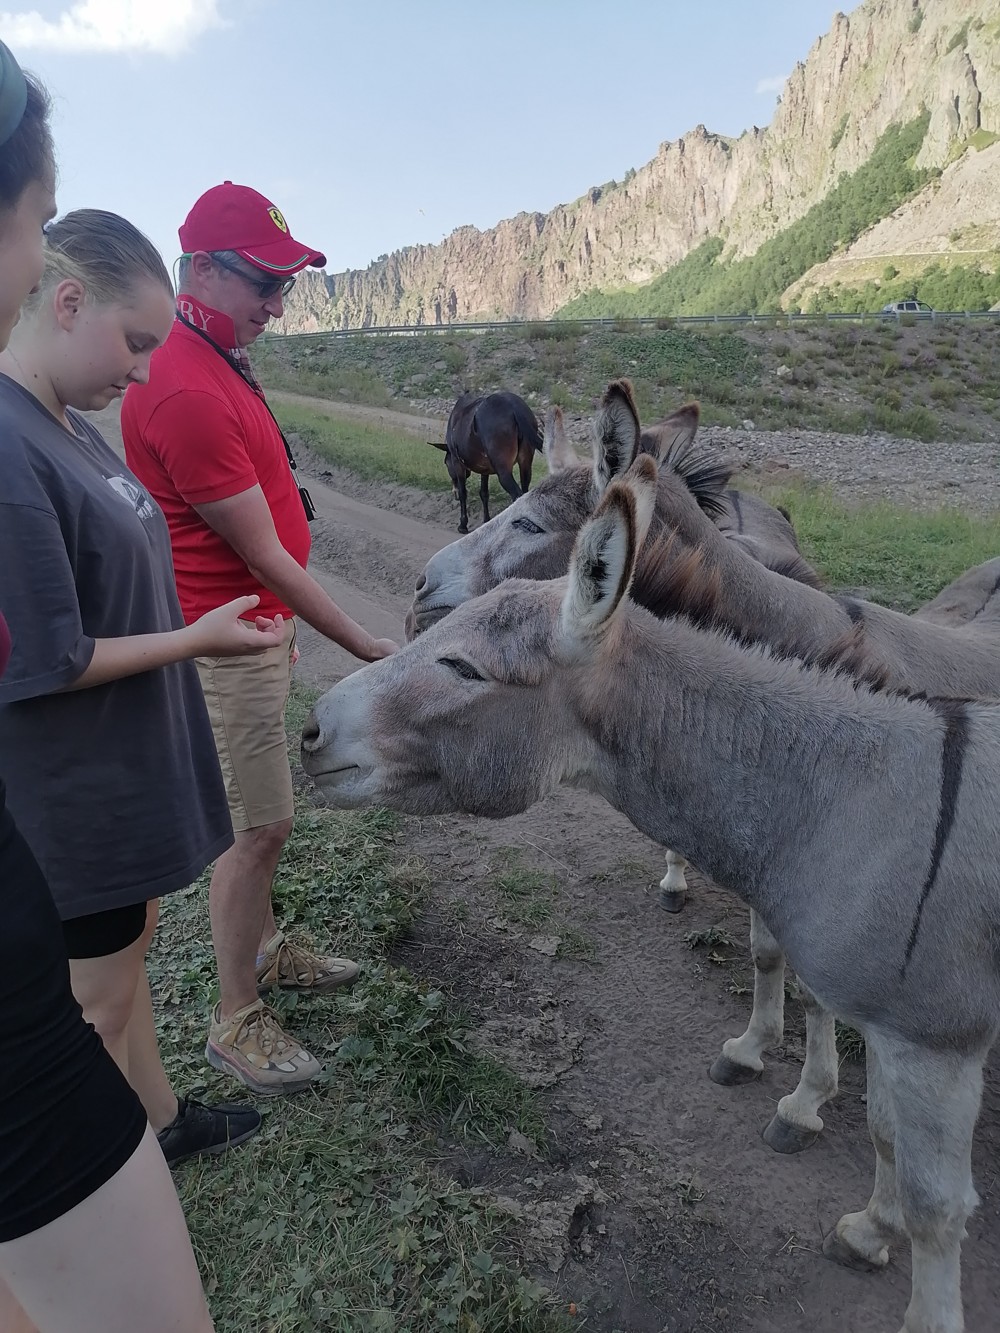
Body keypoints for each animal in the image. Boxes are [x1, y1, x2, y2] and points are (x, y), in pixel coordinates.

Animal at [437, 389, 549, 533]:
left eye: (446, 463)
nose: (453, 492)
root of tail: (514, 406)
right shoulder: (484, 468)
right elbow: (484, 493)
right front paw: (486, 521)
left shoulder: (458, 463)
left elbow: (464, 493)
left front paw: (463, 524)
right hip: (526, 462)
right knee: (525, 491)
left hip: (503, 468)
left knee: (516, 495)